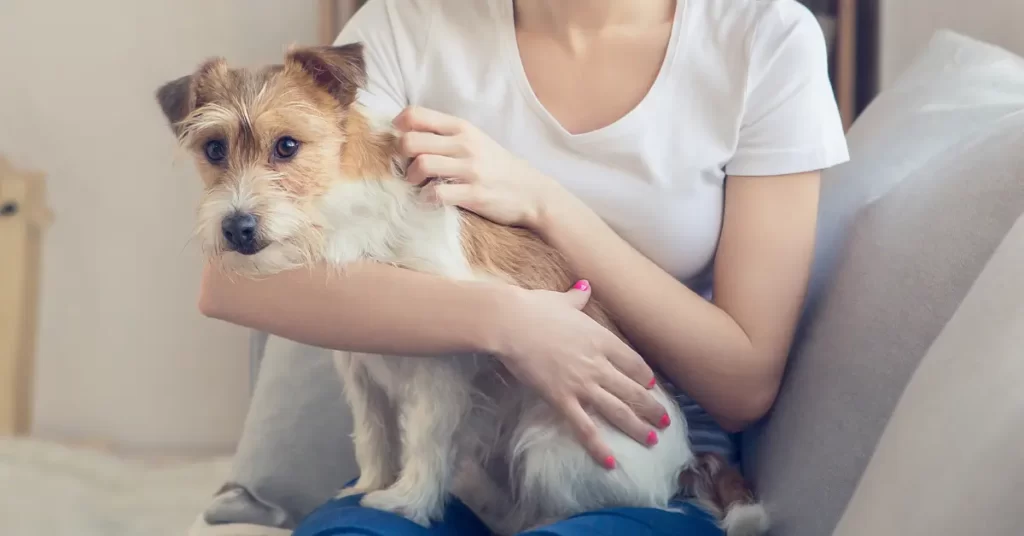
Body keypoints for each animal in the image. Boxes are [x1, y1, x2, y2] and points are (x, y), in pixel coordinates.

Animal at [155, 43, 770, 536]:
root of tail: (683, 465)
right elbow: (374, 435)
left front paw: (404, 501)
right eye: (214, 149)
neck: (346, 216)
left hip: (549, 450)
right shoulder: (359, 371)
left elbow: (425, 440)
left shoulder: (441, 371)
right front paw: (369, 485)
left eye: (286, 146)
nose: (238, 228)